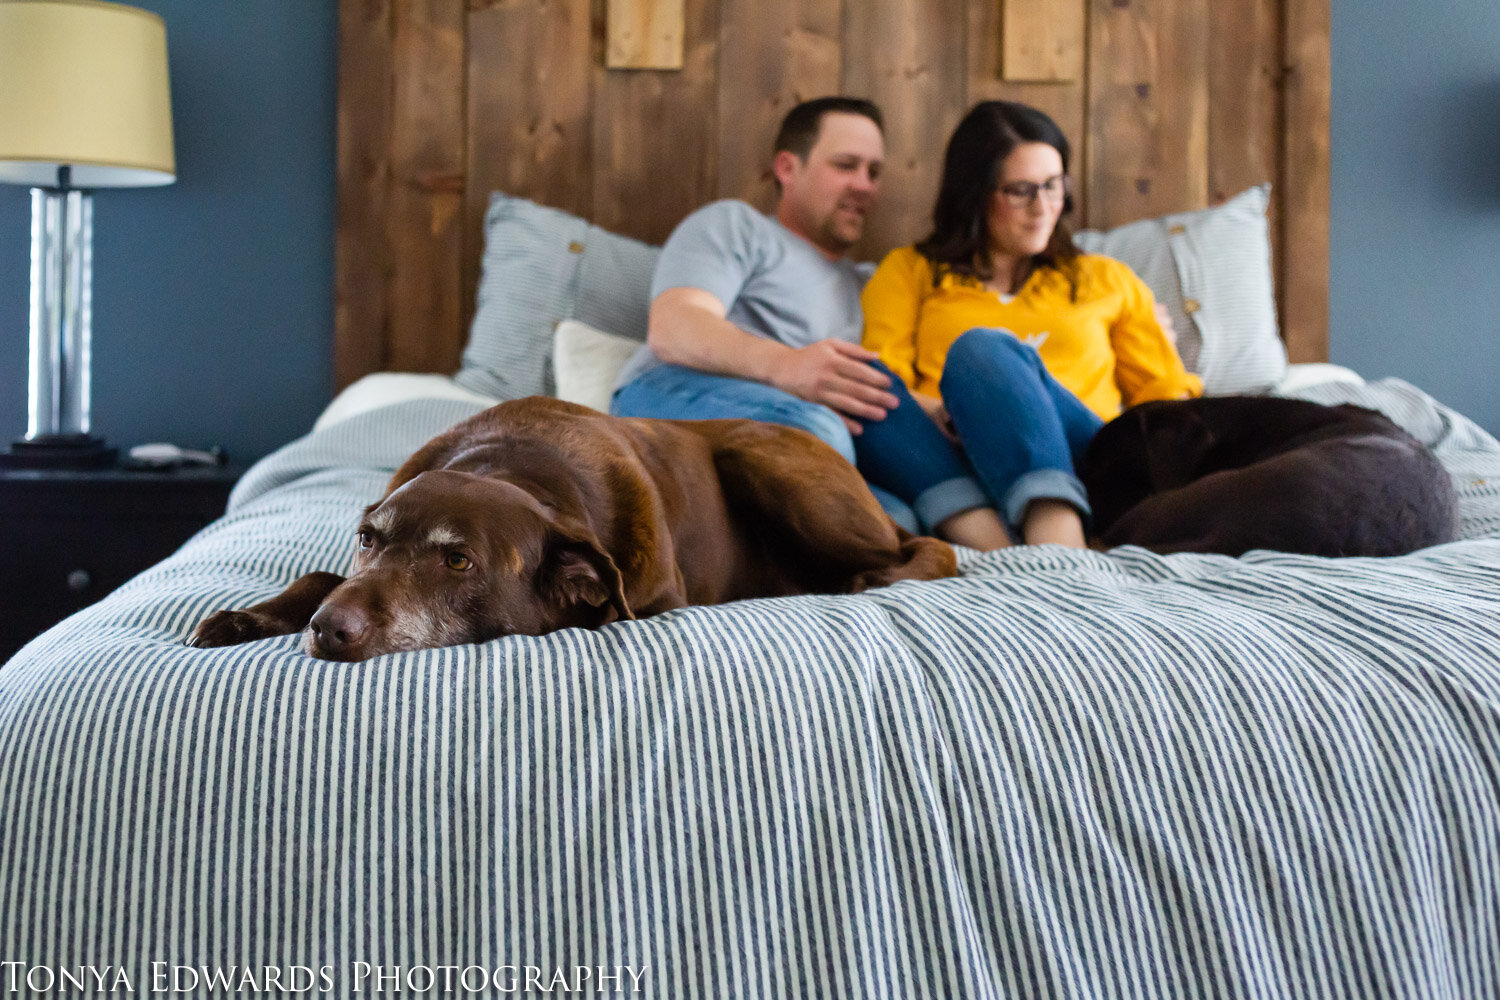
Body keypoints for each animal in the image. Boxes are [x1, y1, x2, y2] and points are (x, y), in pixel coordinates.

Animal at [190, 395, 960, 659]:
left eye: (459, 562)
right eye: (368, 539)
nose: (329, 631)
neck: (514, 465)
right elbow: (319, 573)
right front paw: (248, 617)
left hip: (764, 462)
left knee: (933, 548)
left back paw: (868, 579)